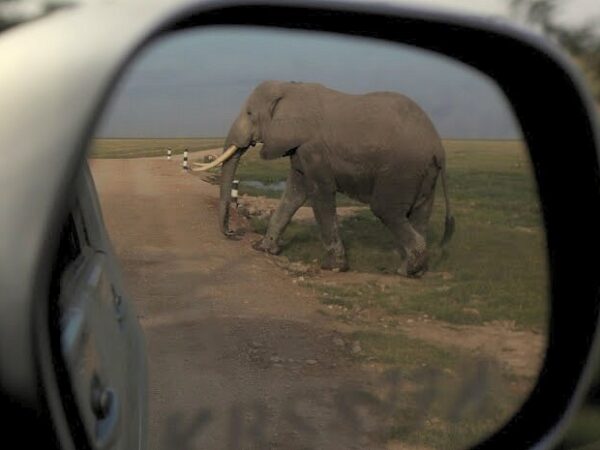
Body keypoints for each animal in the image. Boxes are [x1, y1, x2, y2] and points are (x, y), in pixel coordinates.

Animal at [197, 81, 454, 278]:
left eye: (250, 114)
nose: (232, 233)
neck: (289, 88)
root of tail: (438, 146)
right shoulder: (300, 148)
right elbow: (294, 194)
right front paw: (262, 248)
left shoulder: (313, 148)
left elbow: (319, 194)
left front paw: (333, 267)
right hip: (423, 172)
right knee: (419, 212)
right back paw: (414, 269)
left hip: (401, 168)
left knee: (386, 209)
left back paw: (405, 270)